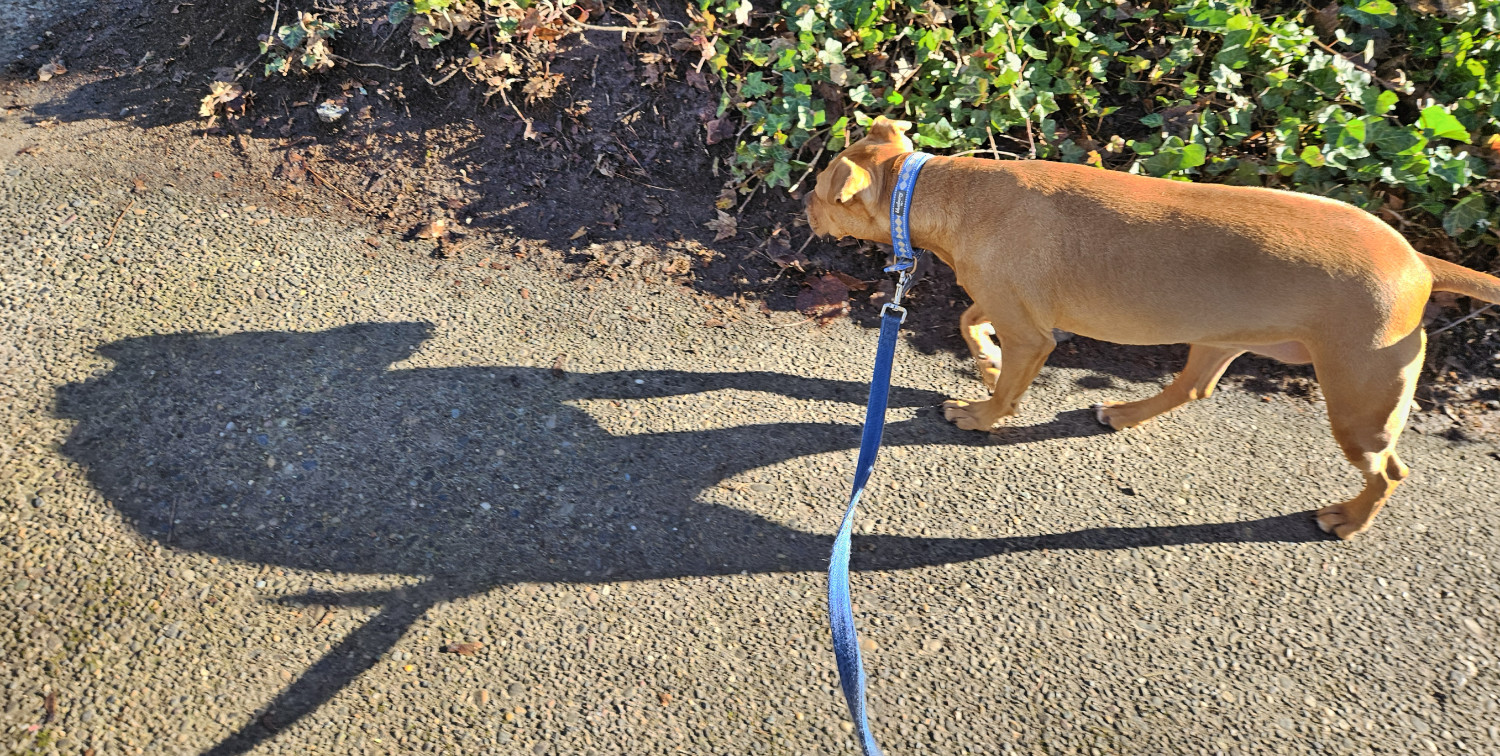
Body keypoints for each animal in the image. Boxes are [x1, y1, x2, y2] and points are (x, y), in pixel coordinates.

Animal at [810, 117, 1500, 537]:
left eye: (818, 189)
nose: (800, 204)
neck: (938, 189)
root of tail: (1419, 261)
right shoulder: (1010, 306)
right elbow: (968, 320)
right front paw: (984, 362)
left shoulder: (1031, 330)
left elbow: (1004, 389)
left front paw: (980, 414)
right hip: (1219, 339)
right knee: (1192, 387)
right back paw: (1122, 412)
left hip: (1360, 401)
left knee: (1388, 472)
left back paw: (1350, 520)